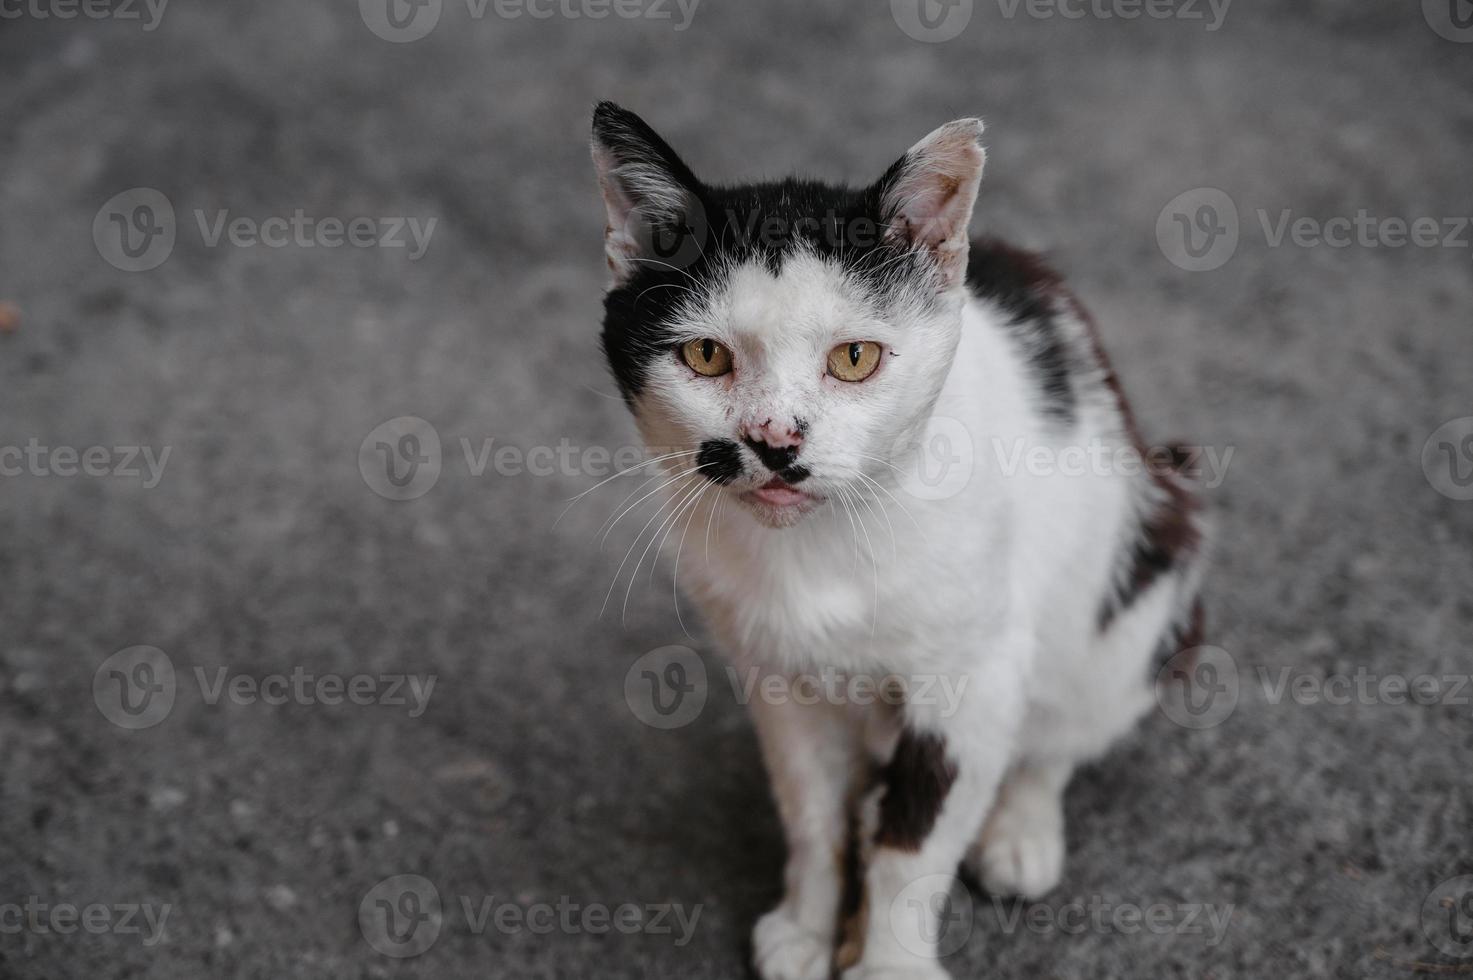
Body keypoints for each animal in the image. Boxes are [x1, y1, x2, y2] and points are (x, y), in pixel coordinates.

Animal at [586, 100, 1207, 978]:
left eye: (854, 358)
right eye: (704, 354)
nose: (775, 440)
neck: (824, 547)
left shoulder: (974, 678)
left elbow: (911, 849)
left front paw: (885, 962)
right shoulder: (778, 676)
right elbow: (810, 813)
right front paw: (808, 930)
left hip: (1146, 575)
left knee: (1060, 732)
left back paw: (1020, 832)